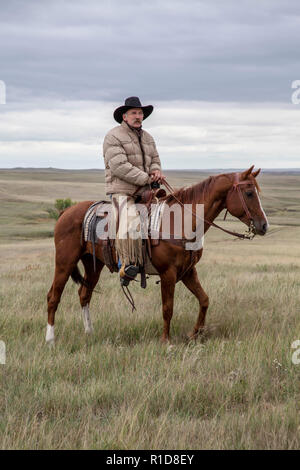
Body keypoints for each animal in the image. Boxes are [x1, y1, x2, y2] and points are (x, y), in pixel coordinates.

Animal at [45, 166, 268, 346]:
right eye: (249, 193)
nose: (264, 226)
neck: (179, 222)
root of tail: (65, 212)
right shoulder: (168, 273)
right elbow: (167, 308)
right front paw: (165, 340)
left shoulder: (188, 272)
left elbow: (204, 300)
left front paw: (195, 333)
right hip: (65, 262)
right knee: (53, 296)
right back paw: (50, 339)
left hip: (93, 265)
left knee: (84, 294)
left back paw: (89, 332)